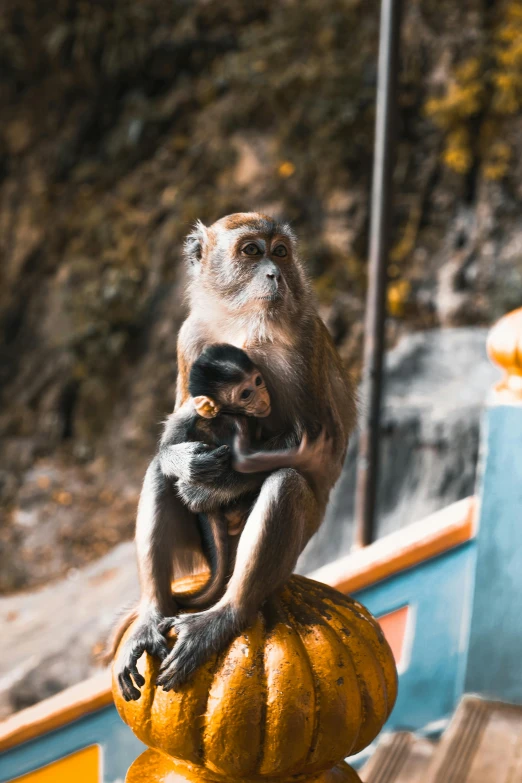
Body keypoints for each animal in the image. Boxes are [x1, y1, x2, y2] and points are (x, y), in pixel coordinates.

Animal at [116, 214, 356, 700]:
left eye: (280, 251)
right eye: (251, 251)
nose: (275, 273)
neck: (241, 319)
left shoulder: (304, 344)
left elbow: (318, 450)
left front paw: (210, 485)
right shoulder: (188, 338)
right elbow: (175, 432)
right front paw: (185, 464)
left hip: (303, 534)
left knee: (287, 485)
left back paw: (229, 613)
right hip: (202, 550)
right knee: (156, 475)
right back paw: (153, 613)